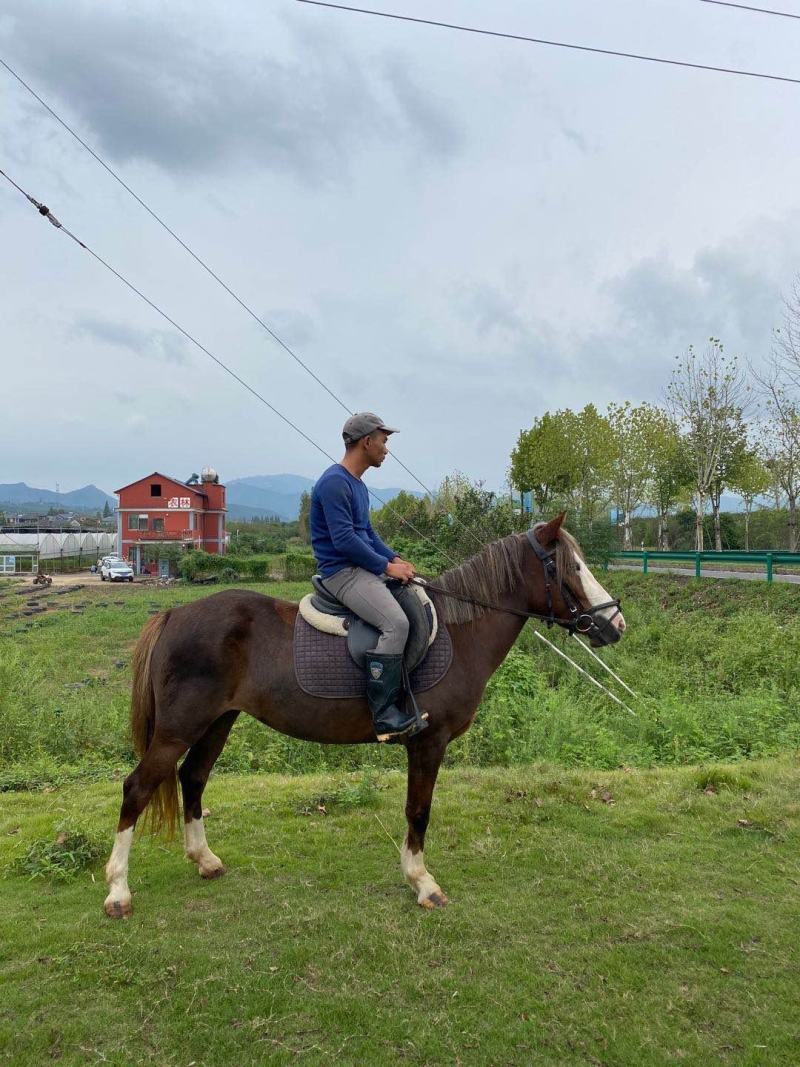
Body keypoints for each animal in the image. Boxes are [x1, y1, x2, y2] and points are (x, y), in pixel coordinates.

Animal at [103, 513, 626, 918]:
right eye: (569, 566)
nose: (615, 623)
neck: (461, 633)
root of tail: (175, 613)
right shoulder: (428, 742)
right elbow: (419, 810)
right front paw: (422, 882)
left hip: (217, 722)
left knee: (192, 778)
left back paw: (205, 860)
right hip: (179, 727)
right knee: (138, 788)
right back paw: (118, 891)